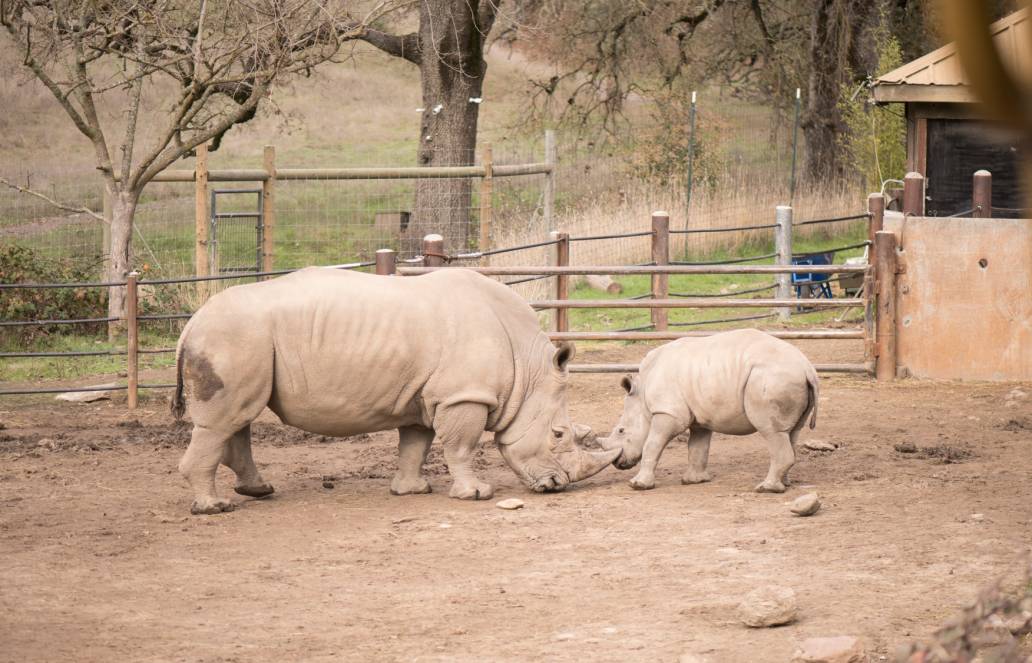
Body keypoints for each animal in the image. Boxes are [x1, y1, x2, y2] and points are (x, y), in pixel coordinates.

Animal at [172, 266, 615, 514]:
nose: (558, 486)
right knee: (223, 421)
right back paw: (215, 508)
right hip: (232, 337)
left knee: (238, 416)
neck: (527, 369)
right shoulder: (462, 394)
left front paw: (412, 491)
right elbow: (461, 446)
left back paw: (259, 490)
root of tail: (191, 324)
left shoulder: (427, 395)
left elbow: (415, 444)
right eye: (558, 434)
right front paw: (475, 495)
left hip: (241, 341)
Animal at [602, 328, 817, 491]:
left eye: (621, 430)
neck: (642, 396)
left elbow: (652, 444)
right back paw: (784, 484)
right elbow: (698, 447)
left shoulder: (667, 412)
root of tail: (807, 369)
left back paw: (766, 488)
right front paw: (693, 481)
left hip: (771, 379)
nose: (618, 463)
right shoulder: (700, 418)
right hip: (786, 378)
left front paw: (637, 485)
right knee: (790, 432)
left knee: (771, 431)